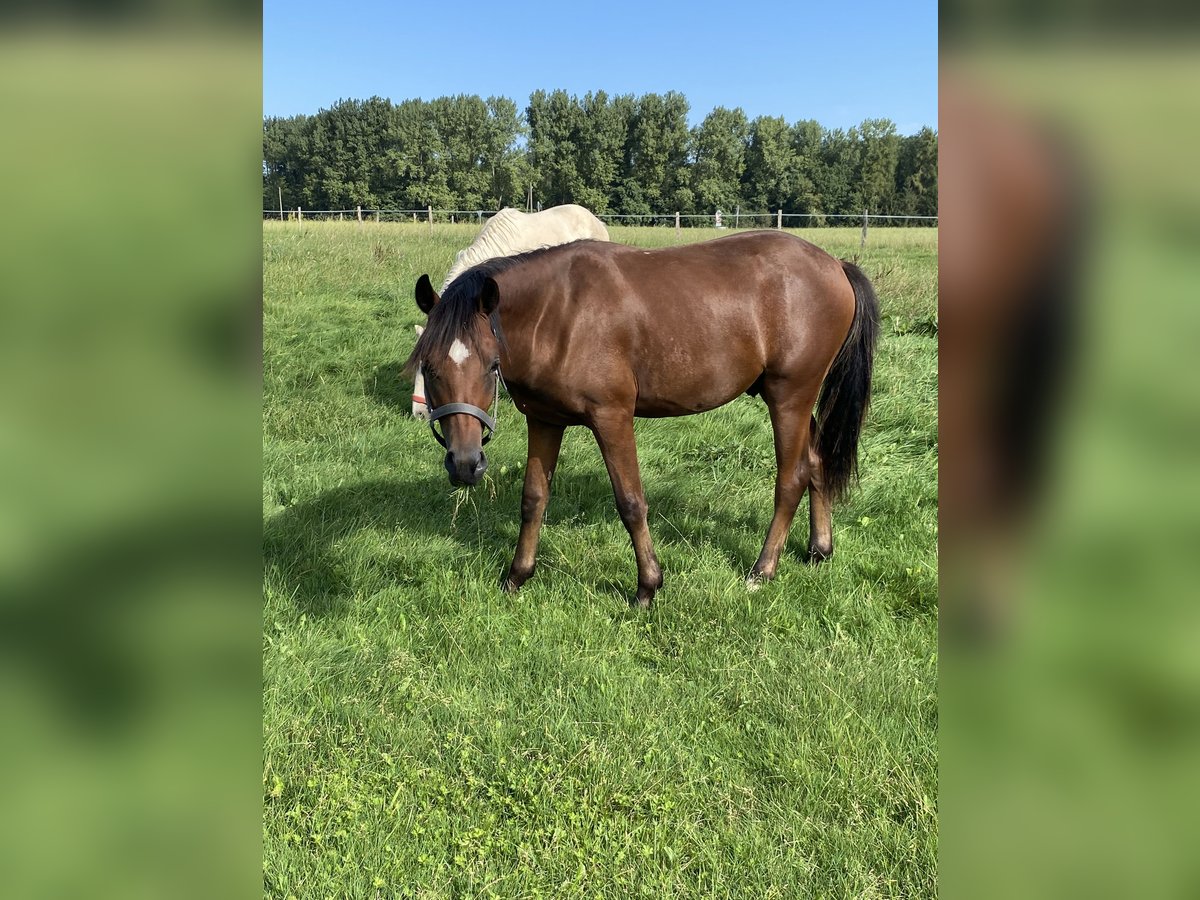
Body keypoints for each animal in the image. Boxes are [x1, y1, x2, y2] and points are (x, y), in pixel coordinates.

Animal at [412, 230, 883, 614]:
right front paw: (516, 576)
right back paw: (819, 549)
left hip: (790, 398)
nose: (465, 464)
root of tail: (835, 265)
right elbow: (533, 500)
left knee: (792, 478)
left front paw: (647, 587)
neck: (559, 313)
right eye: (428, 366)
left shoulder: (613, 417)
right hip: (798, 402)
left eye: (491, 365)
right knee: (818, 462)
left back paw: (762, 570)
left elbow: (631, 503)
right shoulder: (545, 421)